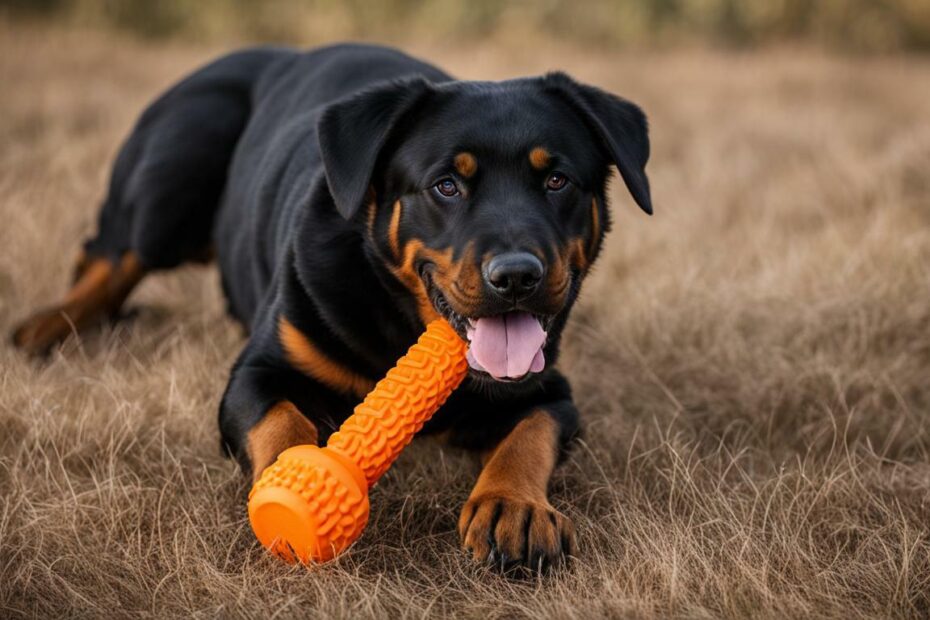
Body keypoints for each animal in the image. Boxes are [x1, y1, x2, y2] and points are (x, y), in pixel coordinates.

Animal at [14, 44, 652, 572]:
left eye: (558, 180)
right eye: (446, 185)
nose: (516, 276)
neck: (402, 323)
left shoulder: (549, 389)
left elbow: (531, 432)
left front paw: (511, 506)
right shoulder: (258, 370)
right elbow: (281, 419)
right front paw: (290, 481)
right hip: (176, 167)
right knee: (109, 255)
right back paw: (45, 325)